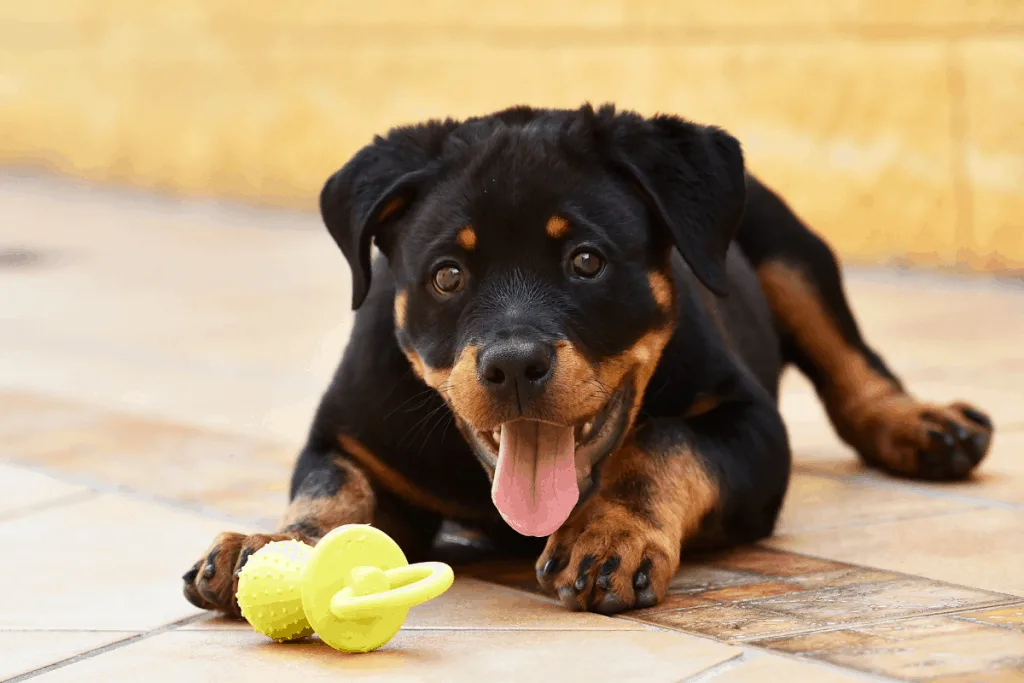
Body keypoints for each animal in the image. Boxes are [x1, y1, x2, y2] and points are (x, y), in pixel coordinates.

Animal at [182, 104, 991, 618]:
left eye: (586, 261)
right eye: (447, 276)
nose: (512, 364)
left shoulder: (752, 426)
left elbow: (663, 441)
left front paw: (610, 538)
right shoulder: (351, 441)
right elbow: (333, 491)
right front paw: (274, 546)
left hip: (791, 247)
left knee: (853, 363)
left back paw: (926, 426)